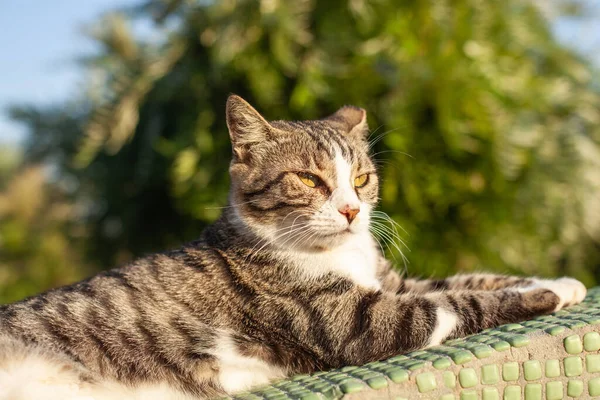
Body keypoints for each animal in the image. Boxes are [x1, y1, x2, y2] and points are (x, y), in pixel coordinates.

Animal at [0, 95, 584, 398]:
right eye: (307, 179)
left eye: (362, 178)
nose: (351, 210)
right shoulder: (361, 322)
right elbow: (460, 302)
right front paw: (547, 295)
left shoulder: (394, 282)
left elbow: (468, 278)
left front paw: (565, 282)